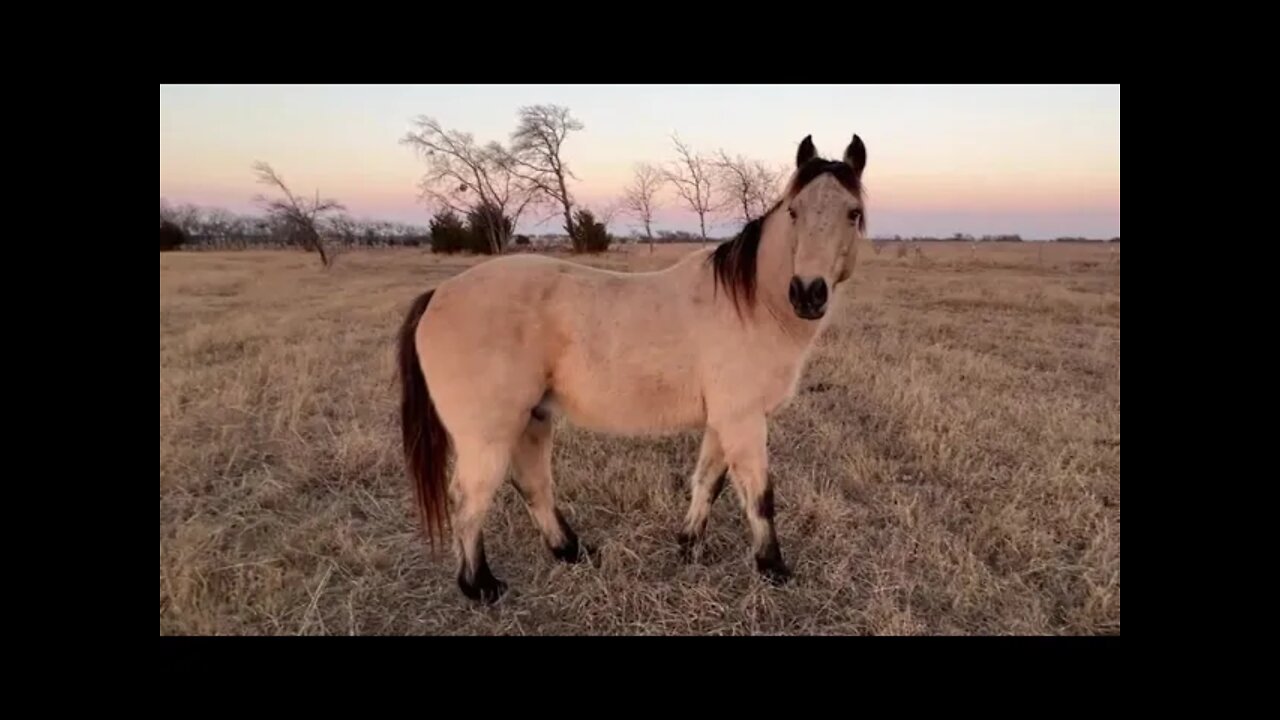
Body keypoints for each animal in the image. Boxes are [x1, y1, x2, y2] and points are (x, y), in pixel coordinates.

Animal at [399, 130, 870, 599]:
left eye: (853, 213)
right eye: (793, 211)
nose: (807, 293)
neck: (753, 306)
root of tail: (438, 294)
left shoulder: (723, 422)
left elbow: (708, 482)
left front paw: (688, 546)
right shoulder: (744, 421)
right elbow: (759, 495)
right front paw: (773, 567)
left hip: (532, 418)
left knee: (533, 485)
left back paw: (571, 552)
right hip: (488, 433)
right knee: (469, 499)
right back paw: (480, 586)